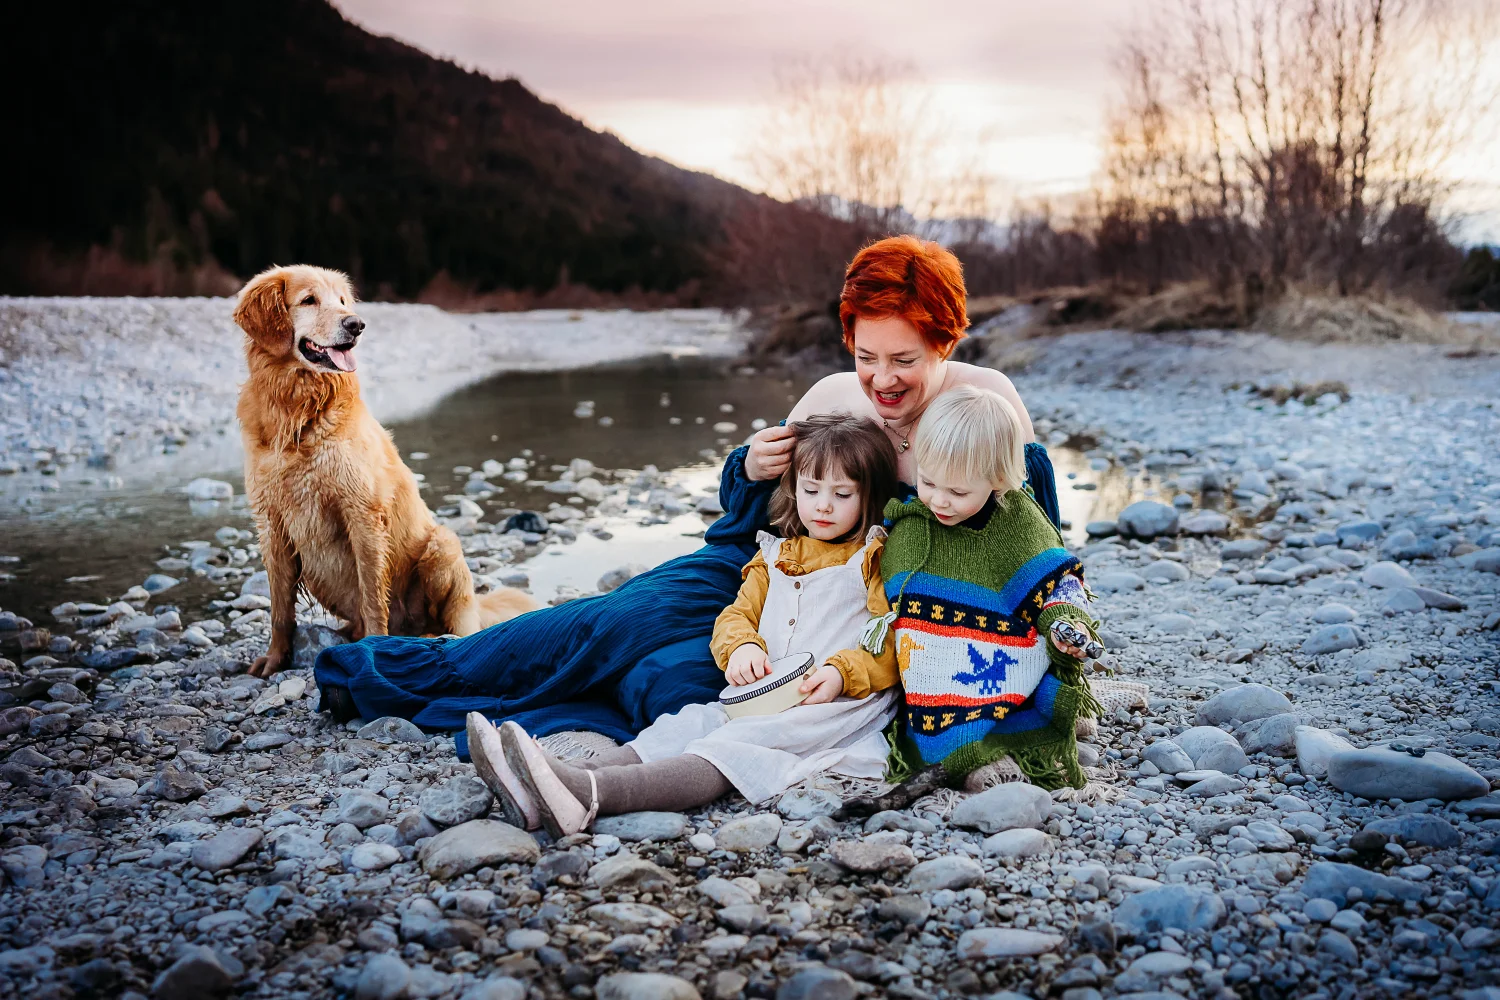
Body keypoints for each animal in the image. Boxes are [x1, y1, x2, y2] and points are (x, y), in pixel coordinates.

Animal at [234, 263, 540, 680]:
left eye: (342, 300)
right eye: (309, 300)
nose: (356, 324)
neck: (298, 409)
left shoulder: (361, 514)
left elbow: (372, 598)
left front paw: (373, 648)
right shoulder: (271, 523)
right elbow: (280, 608)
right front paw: (274, 660)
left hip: (443, 545)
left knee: (458, 626)